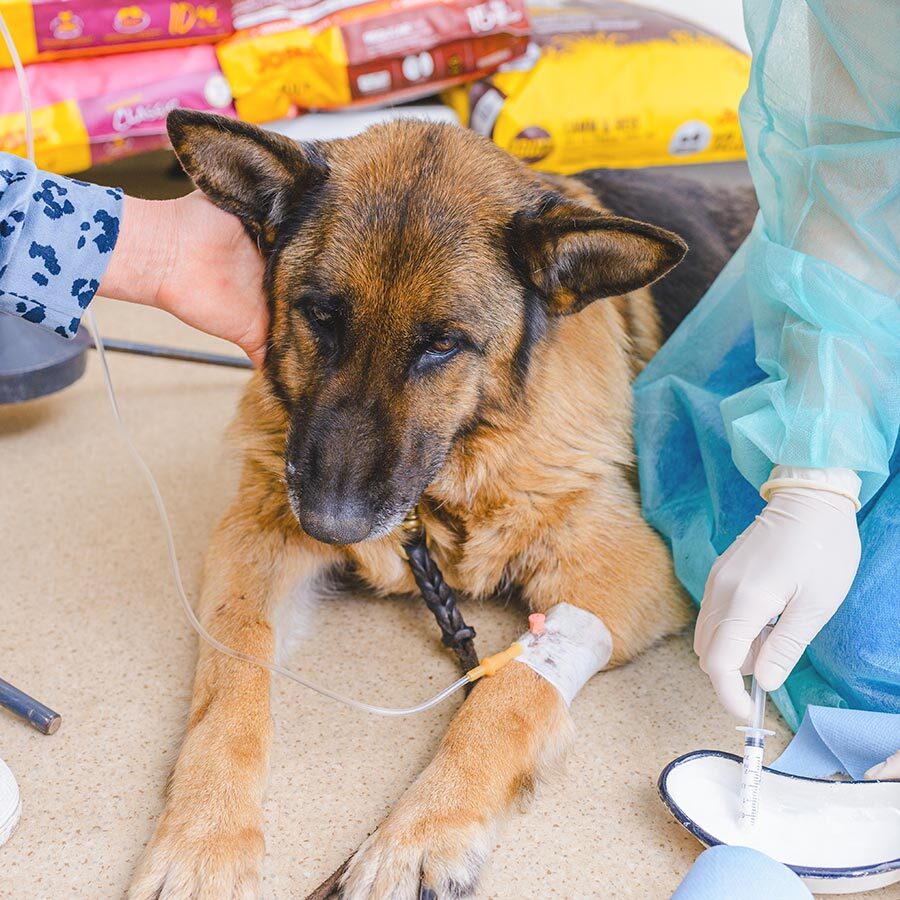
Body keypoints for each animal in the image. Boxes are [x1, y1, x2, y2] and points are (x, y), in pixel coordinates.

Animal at [130, 112, 756, 900]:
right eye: (321, 316)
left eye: (442, 346)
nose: (329, 522)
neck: (446, 488)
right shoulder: (253, 540)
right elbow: (231, 668)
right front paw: (205, 834)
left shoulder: (624, 573)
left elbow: (508, 690)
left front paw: (421, 834)